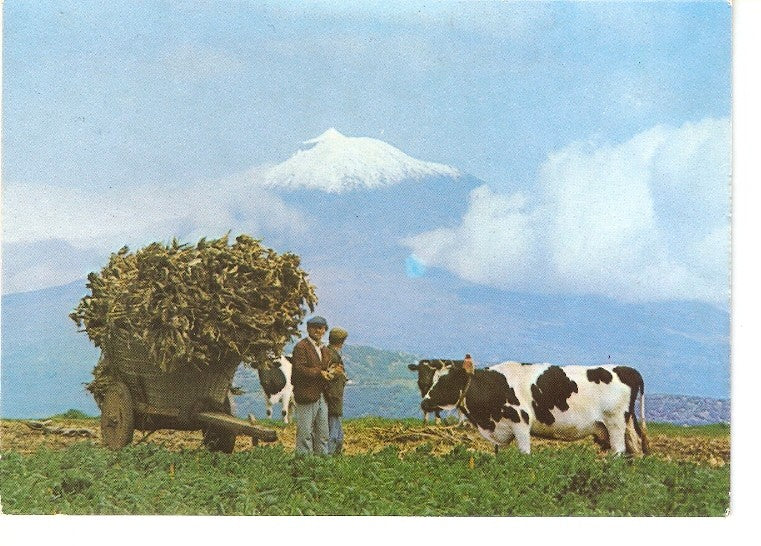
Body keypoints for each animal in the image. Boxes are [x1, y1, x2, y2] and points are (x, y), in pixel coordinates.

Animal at [422, 354, 648, 452]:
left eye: (447, 381)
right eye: (433, 379)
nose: (424, 403)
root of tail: (628, 369)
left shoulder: (521, 423)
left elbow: (524, 453)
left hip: (615, 423)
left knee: (619, 451)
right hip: (625, 425)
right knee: (636, 450)